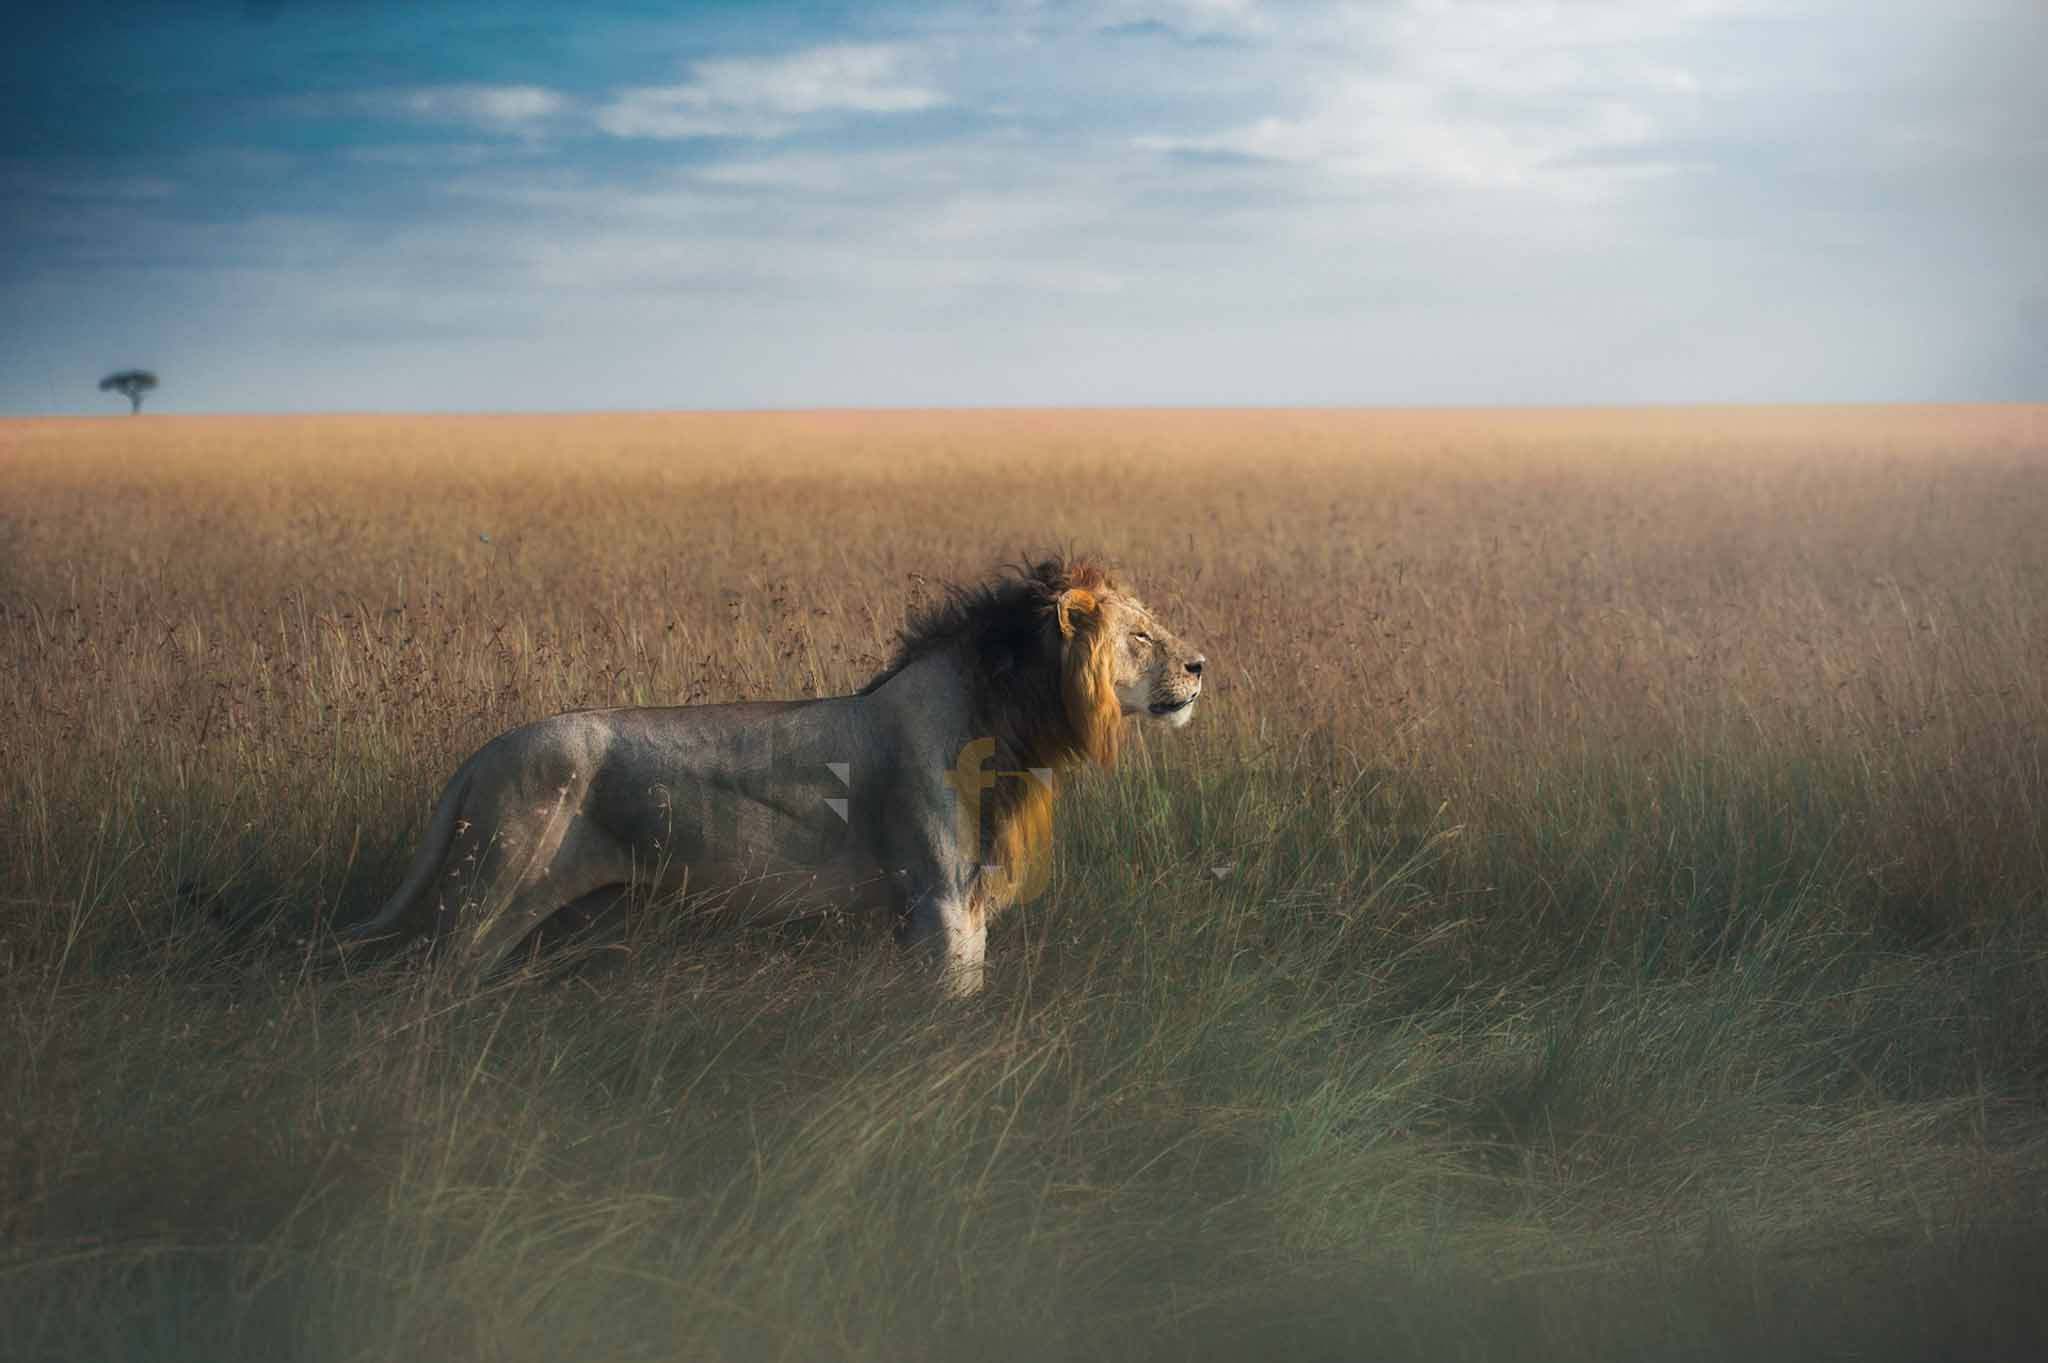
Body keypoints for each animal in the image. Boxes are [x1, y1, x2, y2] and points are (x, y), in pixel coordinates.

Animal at [337, 557, 1205, 994]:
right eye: (1137, 635)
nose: (1201, 664)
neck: (1002, 720)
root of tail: (481, 757)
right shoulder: (938, 897)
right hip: (487, 893)